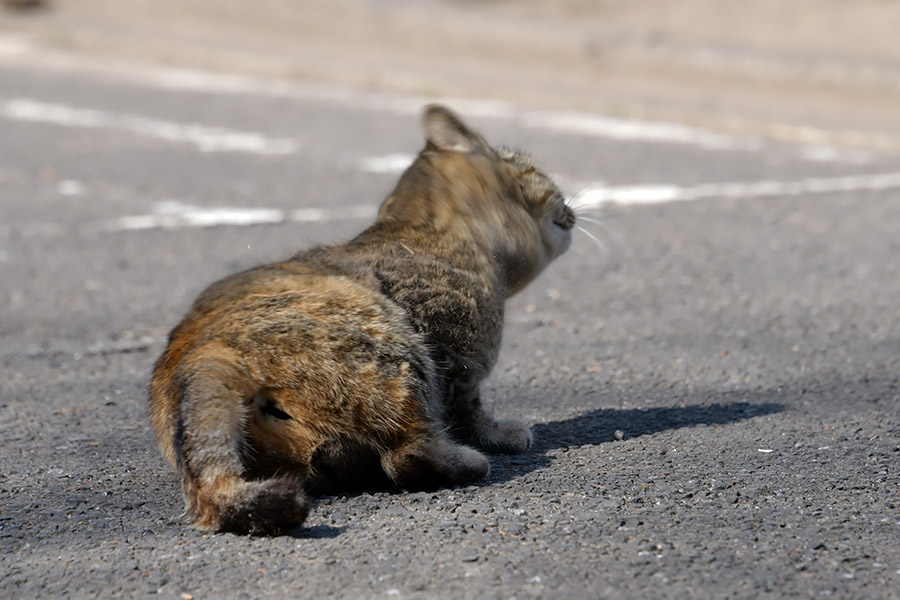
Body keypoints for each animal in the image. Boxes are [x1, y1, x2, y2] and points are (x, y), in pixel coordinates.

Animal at [146, 104, 568, 536]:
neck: (433, 230)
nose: (569, 205)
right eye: (536, 171)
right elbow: (469, 411)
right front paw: (499, 435)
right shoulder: (456, 357)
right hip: (395, 354)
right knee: (408, 456)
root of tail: (200, 353)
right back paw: (464, 462)